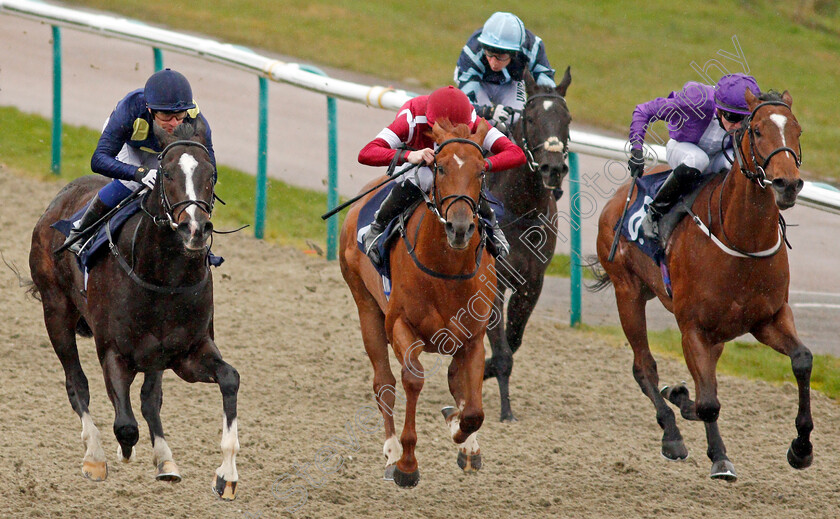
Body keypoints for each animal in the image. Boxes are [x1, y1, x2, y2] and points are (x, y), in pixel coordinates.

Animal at [29, 119, 240, 500]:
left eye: (212, 174)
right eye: (166, 173)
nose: (195, 228)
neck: (165, 277)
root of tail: (59, 200)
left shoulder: (187, 354)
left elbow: (229, 378)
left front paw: (226, 475)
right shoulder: (113, 351)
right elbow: (125, 425)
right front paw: (120, 451)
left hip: (156, 355)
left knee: (149, 398)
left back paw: (165, 460)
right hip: (56, 312)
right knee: (76, 383)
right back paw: (95, 456)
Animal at [342, 118, 496, 488]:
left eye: (482, 170)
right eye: (439, 167)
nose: (459, 227)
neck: (446, 270)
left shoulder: (473, 336)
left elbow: (473, 409)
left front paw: (461, 434)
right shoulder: (401, 325)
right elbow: (412, 380)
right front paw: (407, 464)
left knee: (455, 381)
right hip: (366, 309)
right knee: (384, 383)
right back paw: (391, 452)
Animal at [482, 67, 576, 422]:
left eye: (567, 119)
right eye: (532, 118)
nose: (553, 168)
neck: (519, 208)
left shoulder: (532, 282)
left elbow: (513, 340)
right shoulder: (492, 279)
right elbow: (501, 348)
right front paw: (506, 411)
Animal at [592, 90, 812, 484]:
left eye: (797, 130)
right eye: (757, 130)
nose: (787, 184)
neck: (742, 239)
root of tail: (620, 195)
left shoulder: (769, 318)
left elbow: (802, 361)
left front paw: (801, 448)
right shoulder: (692, 327)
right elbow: (709, 402)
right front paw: (714, 451)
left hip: (716, 334)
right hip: (627, 292)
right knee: (644, 366)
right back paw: (672, 435)